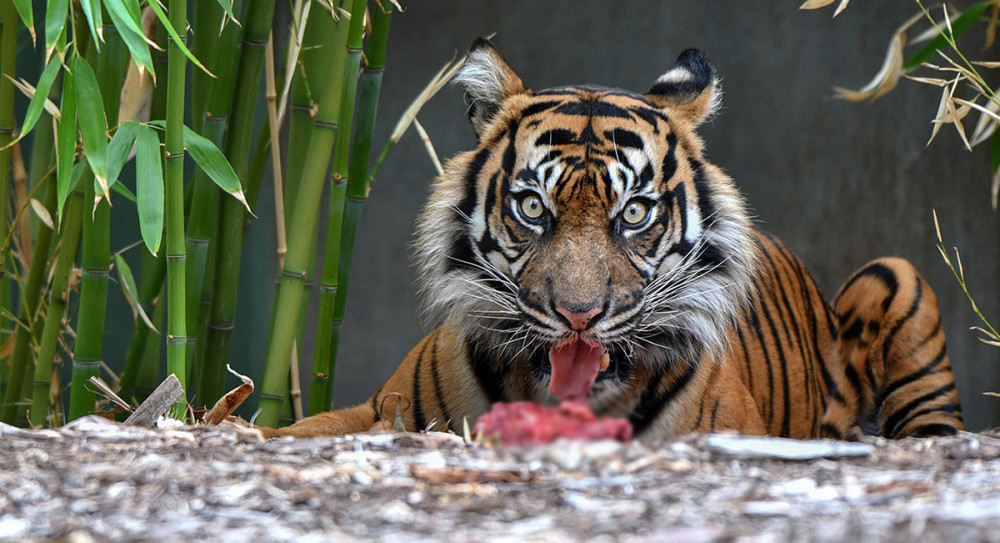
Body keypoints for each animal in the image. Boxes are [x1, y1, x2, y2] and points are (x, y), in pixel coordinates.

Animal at [258, 41, 960, 442]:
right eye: (533, 208)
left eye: (635, 213)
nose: (578, 316)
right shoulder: (383, 407)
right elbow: (301, 428)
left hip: (896, 275)